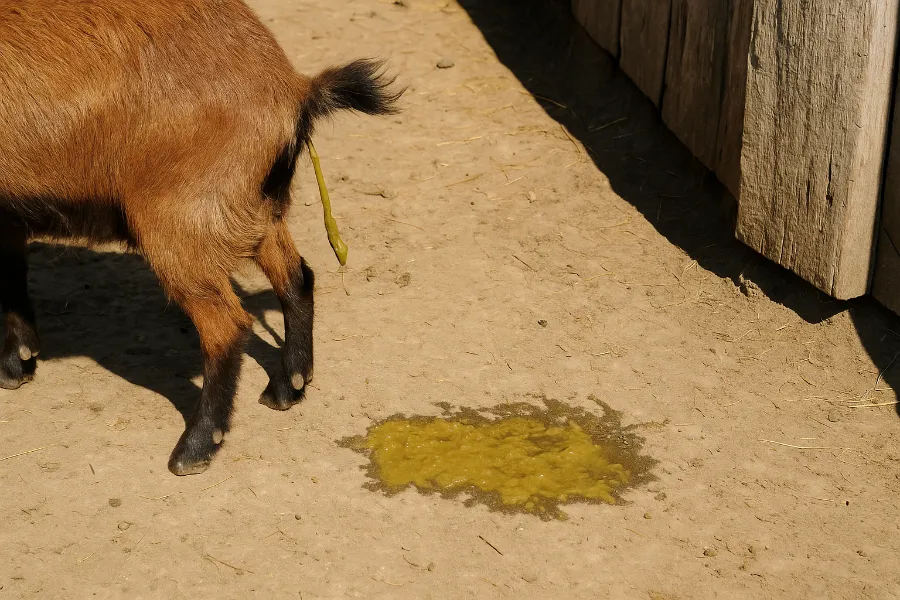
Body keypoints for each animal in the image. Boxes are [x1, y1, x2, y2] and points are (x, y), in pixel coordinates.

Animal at [0, 0, 401, 475]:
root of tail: (293, 88)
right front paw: (17, 364)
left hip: (180, 223)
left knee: (227, 325)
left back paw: (195, 448)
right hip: (251, 207)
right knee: (297, 278)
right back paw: (287, 389)